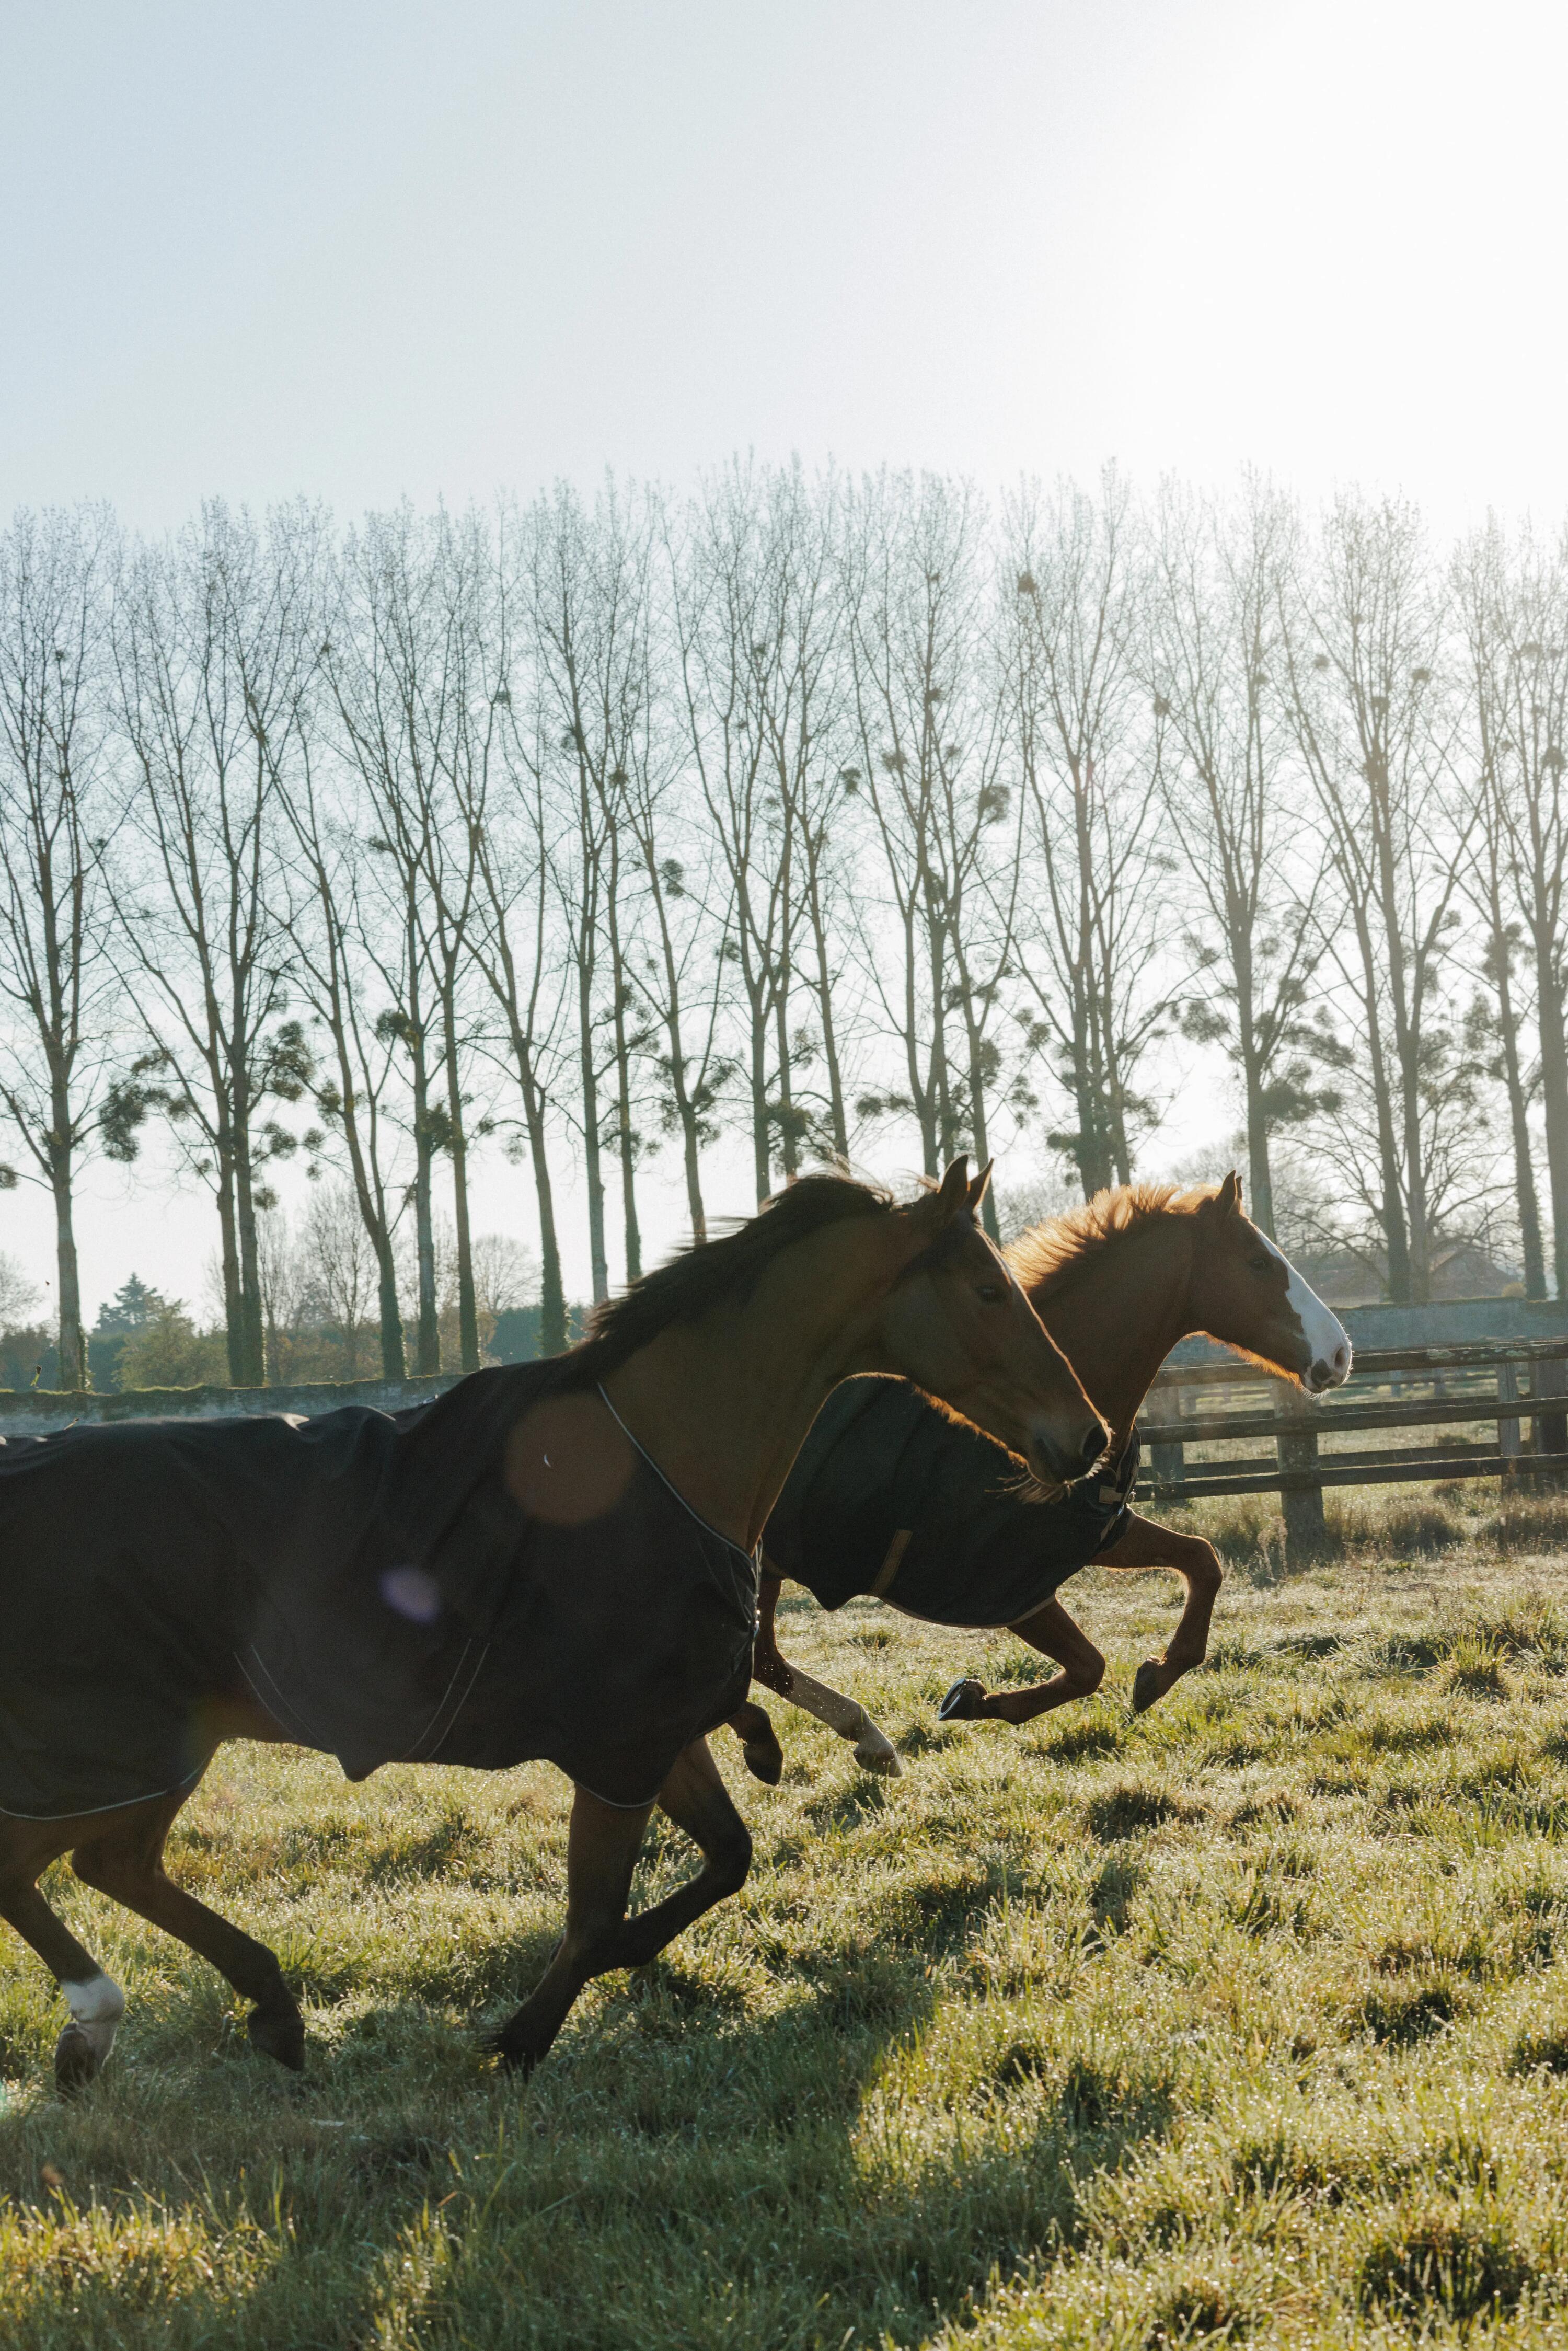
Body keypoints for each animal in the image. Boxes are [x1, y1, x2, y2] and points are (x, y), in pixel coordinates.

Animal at [0, 1159, 1107, 2091]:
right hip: (127, 1749)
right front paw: (523, 2034)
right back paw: (109, 2013)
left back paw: (248, 2011)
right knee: (46, 1862)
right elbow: (597, 1910)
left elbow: (727, 1858)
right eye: (990, 1289)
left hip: (155, 1753)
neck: (661, 1459)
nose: (1087, 1438)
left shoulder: (659, 1736)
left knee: (109, 1865)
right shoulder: (616, 1747)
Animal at [744, 1174, 1351, 1770]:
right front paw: (969, 1700)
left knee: (763, 1657)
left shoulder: (1095, 1533)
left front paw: (1155, 1676)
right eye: (1258, 1262)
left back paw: (848, 1740)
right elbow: (1088, 1666)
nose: (1340, 1355)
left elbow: (1202, 1561)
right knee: (760, 1658)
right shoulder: (1006, 1580)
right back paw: (852, 1738)